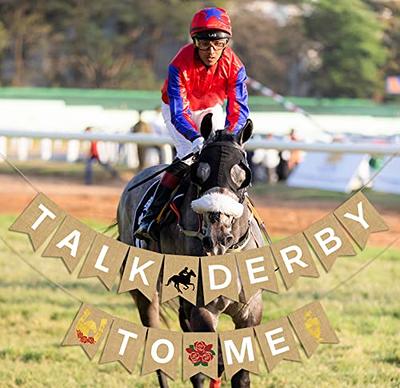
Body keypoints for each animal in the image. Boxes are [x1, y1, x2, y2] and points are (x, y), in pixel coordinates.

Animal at [116, 116, 266, 388]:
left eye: (244, 177)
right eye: (199, 176)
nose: (218, 237)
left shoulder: (250, 310)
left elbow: (240, 374)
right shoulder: (202, 310)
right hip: (145, 289)